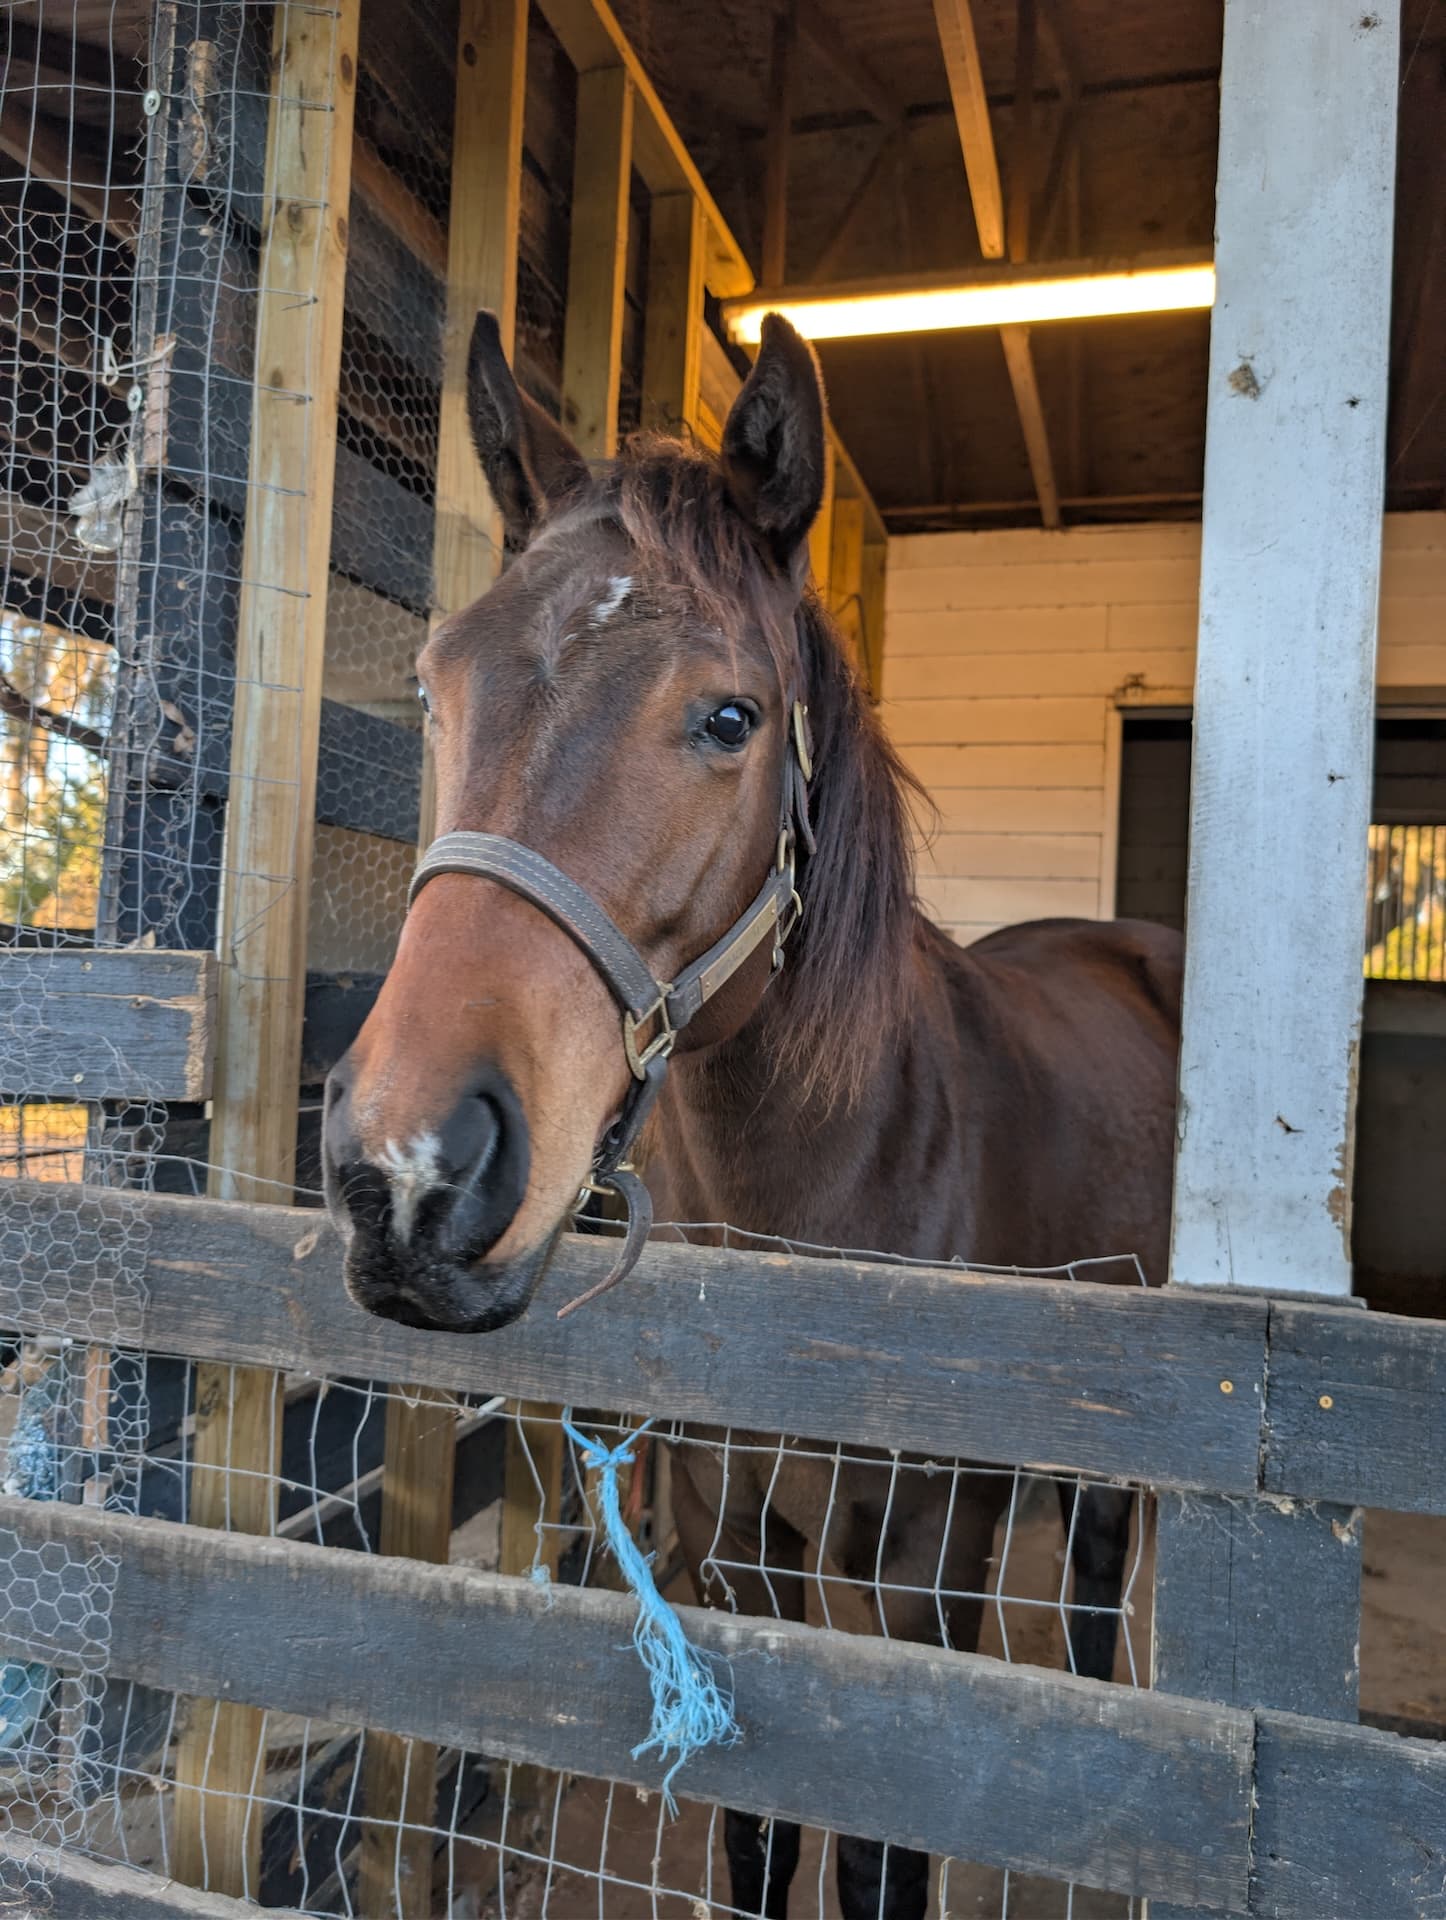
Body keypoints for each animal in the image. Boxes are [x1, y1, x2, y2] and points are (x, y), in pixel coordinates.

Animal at [321, 309, 1182, 1920]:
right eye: (432, 687)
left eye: (729, 718)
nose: (408, 1169)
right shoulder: (736, 1546)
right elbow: (761, 1845)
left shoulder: (925, 1572)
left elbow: (883, 1863)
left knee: (1101, 1607)